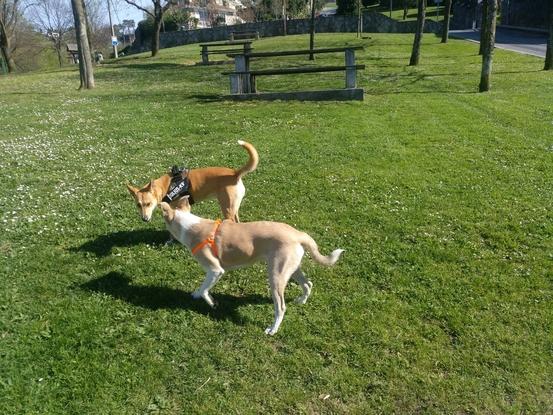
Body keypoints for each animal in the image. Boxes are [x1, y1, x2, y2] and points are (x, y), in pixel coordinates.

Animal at [127, 141, 258, 224]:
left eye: (148, 204)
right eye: (138, 205)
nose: (144, 219)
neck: (165, 186)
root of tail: (235, 173)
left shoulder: (184, 207)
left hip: (227, 208)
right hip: (233, 208)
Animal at [157, 199, 342, 338]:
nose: (167, 240)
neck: (190, 226)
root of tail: (299, 234)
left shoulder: (216, 270)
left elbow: (204, 290)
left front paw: (211, 303)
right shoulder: (212, 273)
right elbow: (201, 288)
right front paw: (195, 295)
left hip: (276, 276)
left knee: (281, 307)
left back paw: (272, 329)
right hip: (292, 269)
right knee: (308, 284)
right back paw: (301, 301)